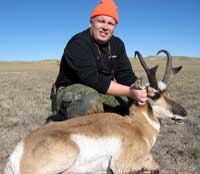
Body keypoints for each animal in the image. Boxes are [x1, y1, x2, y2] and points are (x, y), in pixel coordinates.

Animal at [4, 49, 186, 174]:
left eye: (168, 93)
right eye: (155, 95)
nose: (184, 113)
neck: (136, 126)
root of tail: (18, 154)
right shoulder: (121, 164)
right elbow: (154, 163)